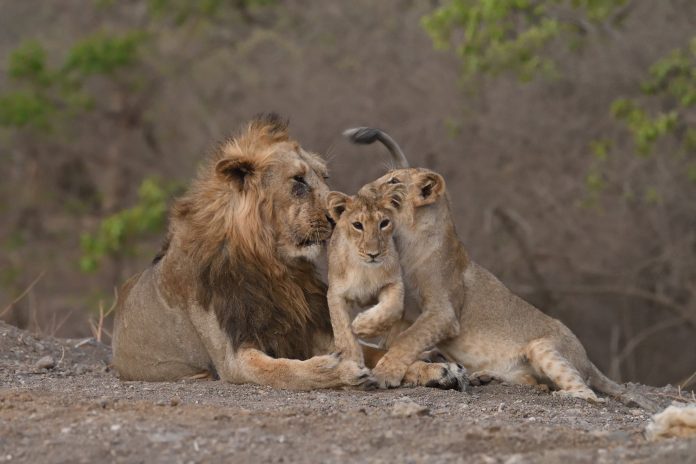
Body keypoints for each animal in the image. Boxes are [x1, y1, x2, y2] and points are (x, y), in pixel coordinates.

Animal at [111, 115, 464, 390]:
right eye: (298, 181)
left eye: (324, 176)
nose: (340, 216)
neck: (275, 265)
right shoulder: (233, 356)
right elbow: (284, 370)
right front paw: (338, 369)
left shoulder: (308, 327)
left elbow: (375, 352)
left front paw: (434, 368)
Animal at [345, 127, 658, 410]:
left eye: (393, 181)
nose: (362, 190)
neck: (407, 237)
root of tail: (587, 358)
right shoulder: (401, 304)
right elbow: (391, 324)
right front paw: (364, 325)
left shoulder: (443, 312)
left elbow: (407, 340)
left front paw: (384, 372)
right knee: (534, 382)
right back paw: (483, 376)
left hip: (543, 347)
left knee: (588, 393)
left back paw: (563, 394)